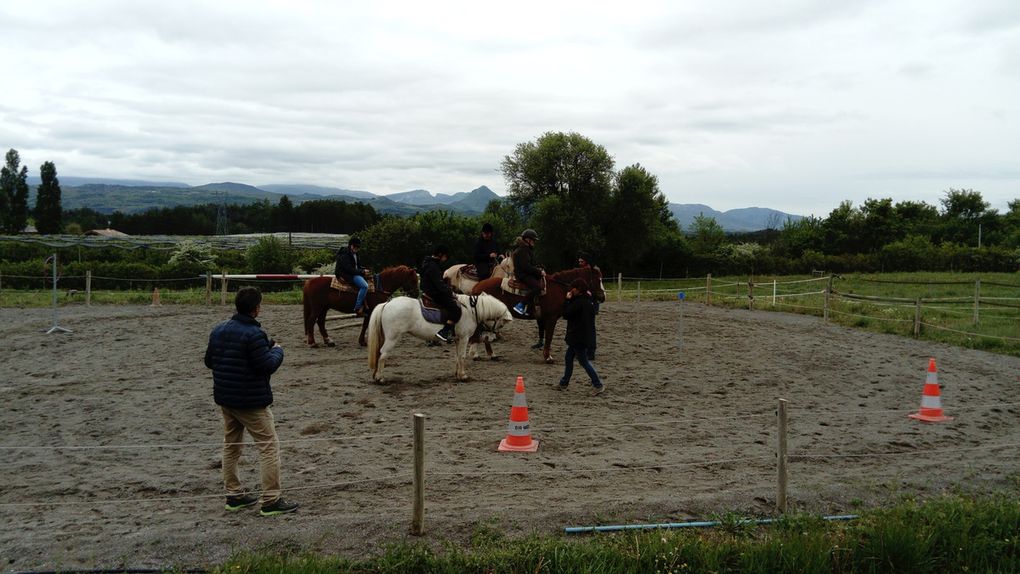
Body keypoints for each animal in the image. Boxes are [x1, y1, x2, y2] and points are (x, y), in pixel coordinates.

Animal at [367, 293, 514, 383]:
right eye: (501, 324)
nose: (491, 338)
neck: (470, 310)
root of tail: (387, 303)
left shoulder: (458, 339)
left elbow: (457, 357)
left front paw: (457, 374)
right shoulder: (464, 338)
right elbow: (462, 356)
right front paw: (463, 376)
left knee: (379, 354)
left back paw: (375, 376)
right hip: (392, 338)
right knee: (383, 355)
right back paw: (380, 378)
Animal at [471, 267, 603, 362]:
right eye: (598, 280)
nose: (603, 296)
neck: (558, 288)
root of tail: (477, 286)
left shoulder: (544, 319)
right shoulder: (551, 319)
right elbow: (549, 336)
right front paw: (548, 357)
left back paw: (490, 355)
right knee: (478, 333)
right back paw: (478, 355)